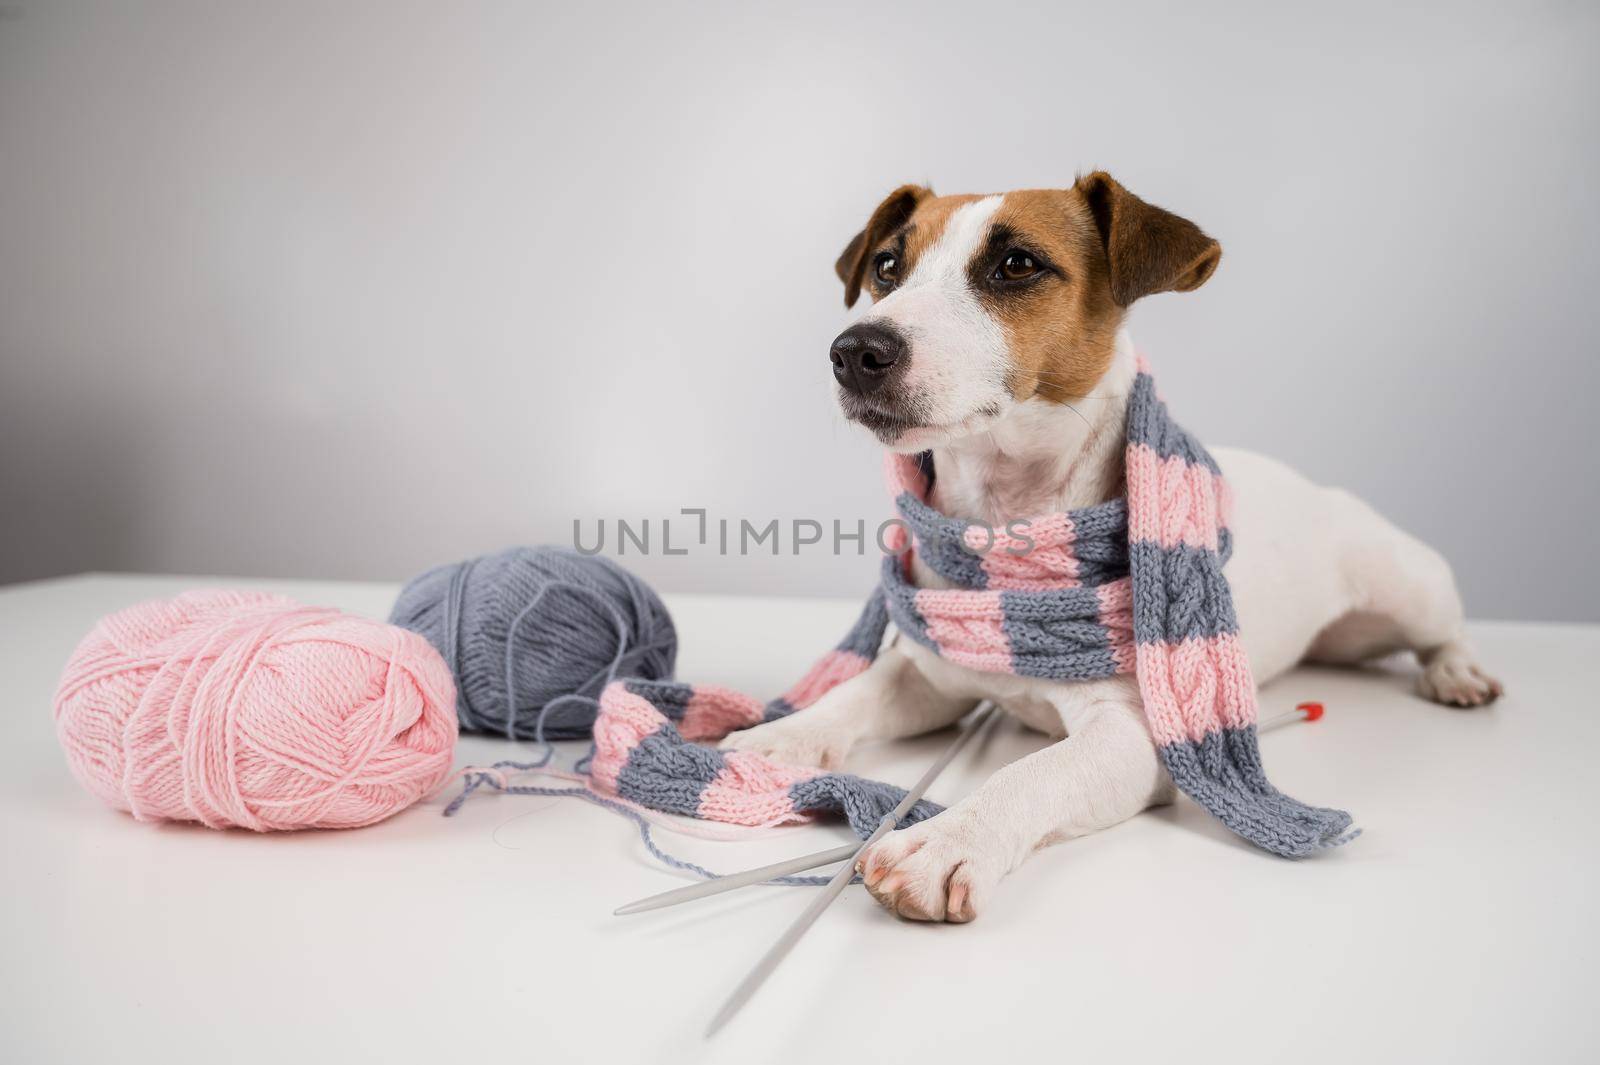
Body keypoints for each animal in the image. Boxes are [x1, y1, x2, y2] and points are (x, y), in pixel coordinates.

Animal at [723, 174, 1497, 921]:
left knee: (1446, 625)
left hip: (1407, 584)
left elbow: (1029, 770)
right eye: (887, 265)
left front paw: (947, 842)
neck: (1008, 523)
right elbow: (853, 696)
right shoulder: (928, 675)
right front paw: (775, 741)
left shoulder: (1139, 737)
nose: (856, 351)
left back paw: (1458, 672)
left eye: (1016, 264)